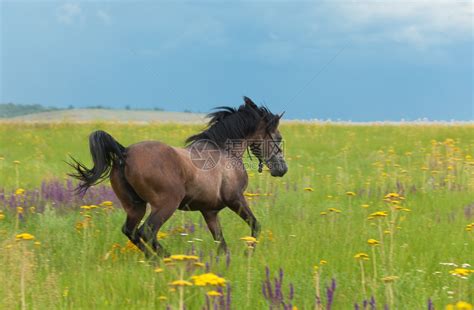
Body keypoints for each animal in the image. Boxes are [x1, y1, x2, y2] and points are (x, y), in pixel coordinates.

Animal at [68, 97, 286, 256]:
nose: (282, 169)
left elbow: (221, 241)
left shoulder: (209, 211)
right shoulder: (235, 198)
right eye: (278, 137)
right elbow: (256, 226)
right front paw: (249, 253)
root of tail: (125, 153)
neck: (225, 152)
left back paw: (156, 261)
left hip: (135, 207)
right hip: (166, 204)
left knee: (131, 232)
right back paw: (167, 259)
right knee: (146, 232)